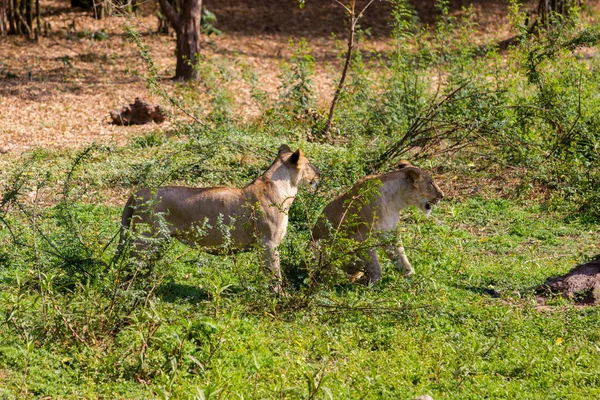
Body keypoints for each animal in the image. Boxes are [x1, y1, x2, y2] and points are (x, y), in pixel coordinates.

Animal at [119, 144, 322, 290]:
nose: (320, 173)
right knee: (129, 269)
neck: (284, 188)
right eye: (309, 164)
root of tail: (139, 192)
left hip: (156, 244)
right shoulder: (268, 243)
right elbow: (274, 275)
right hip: (145, 241)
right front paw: (278, 298)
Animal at [312, 162, 442, 284]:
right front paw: (373, 284)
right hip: (316, 246)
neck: (396, 201)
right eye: (431, 183)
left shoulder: (390, 233)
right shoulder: (361, 238)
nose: (442, 196)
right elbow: (374, 266)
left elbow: (401, 256)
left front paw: (411, 276)